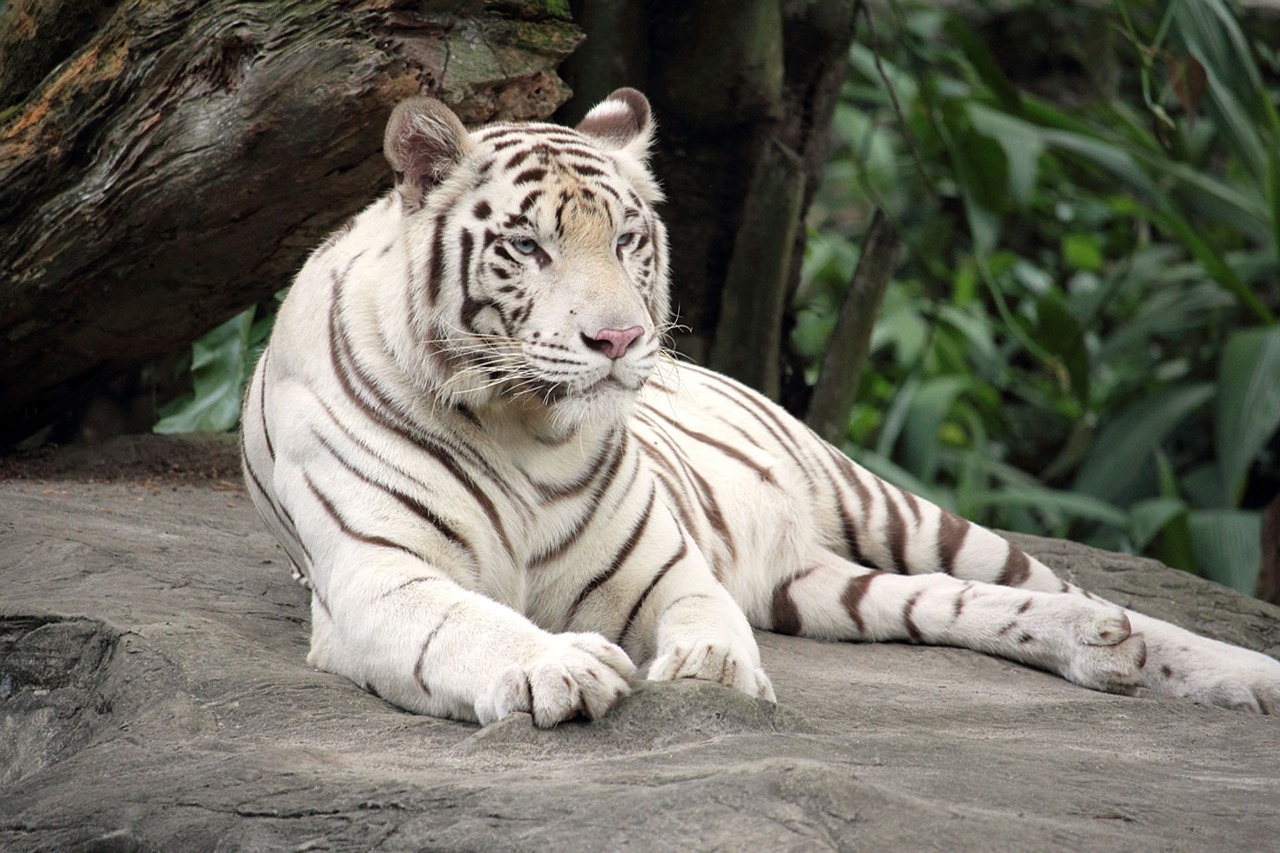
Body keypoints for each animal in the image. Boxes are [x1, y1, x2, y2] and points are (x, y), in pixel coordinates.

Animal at [241, 87, 1280, 722]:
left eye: (627, 239)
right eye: (529, 247)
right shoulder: (379, 576)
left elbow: (703, 614)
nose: (619, 341)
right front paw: (558, 664)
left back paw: (1222, 668)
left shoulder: (661, 567)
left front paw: (712, 671)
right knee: (958, 604)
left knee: (1074, 590)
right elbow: (469, 624)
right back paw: (1104, 652)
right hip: (821, 586)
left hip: (891, 508)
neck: (524, 426)